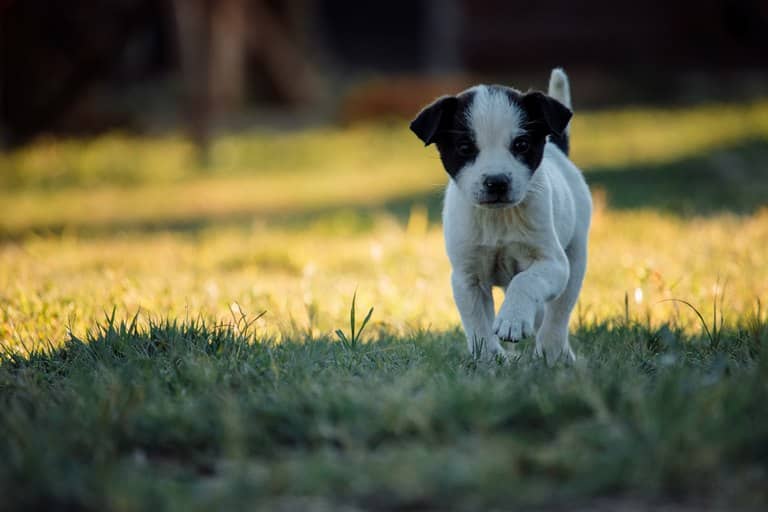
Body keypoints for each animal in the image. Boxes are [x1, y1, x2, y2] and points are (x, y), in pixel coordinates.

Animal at [412, 69, 592, 364]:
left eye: (521, 144)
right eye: (465, 148)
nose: (496, 182)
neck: (498, 220)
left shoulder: (552, 262)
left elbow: (525, 281)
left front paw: (513, 320)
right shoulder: (467, 278)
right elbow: (477, 325)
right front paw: (490, 359)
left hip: (574, 261)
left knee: (557, 315)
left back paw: (553, 352)